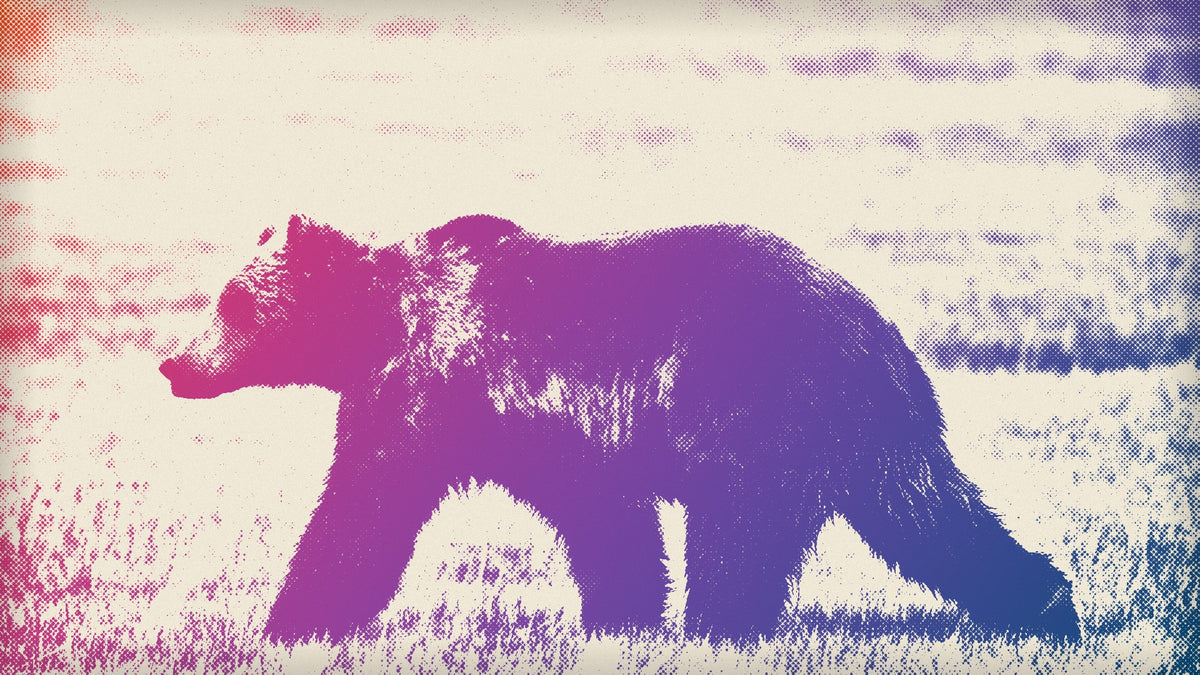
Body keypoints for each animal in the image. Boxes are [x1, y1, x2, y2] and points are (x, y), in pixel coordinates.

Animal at [159, 213, 1080, 644]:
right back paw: (1046, 602)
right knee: (931, 514)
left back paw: (722, 627)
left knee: (742, 534)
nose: (174, 363)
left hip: (760, 411)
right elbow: (606, 524)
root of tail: (879, 333)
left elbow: (363, 506)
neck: (373, 325)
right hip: (872, 437)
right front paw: (619, 615)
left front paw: (291, 617)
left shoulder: (431, 389)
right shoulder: (555, 434)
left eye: (232, 302)